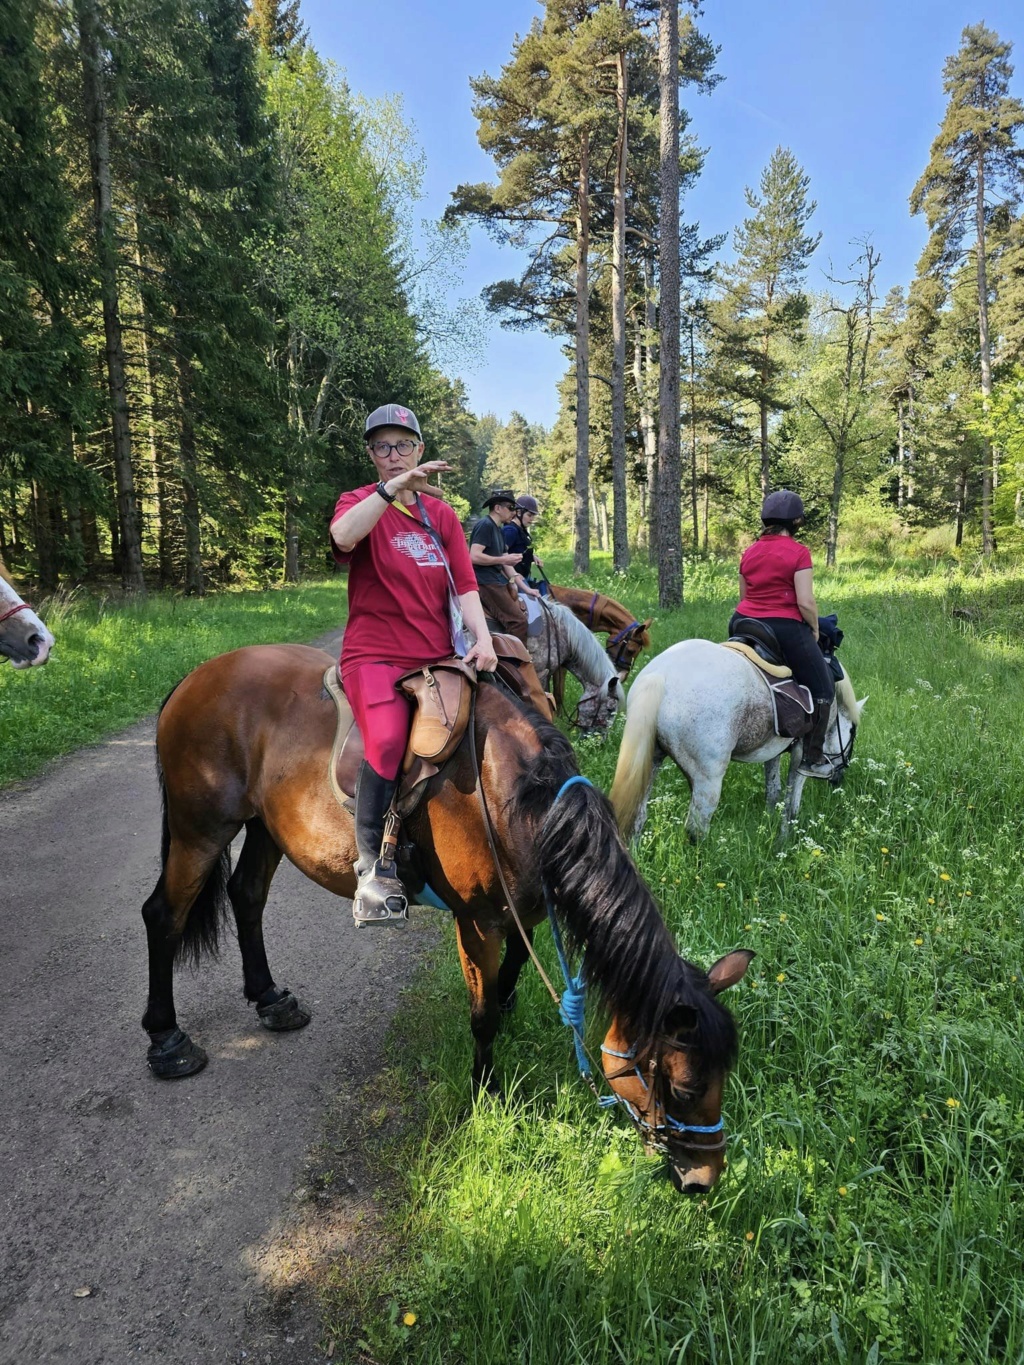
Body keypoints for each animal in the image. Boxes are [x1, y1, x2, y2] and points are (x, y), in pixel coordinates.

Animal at [142, 644, 753, 1190]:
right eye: (683, 1087)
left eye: (726, 1076)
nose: (703, 1179)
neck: (520, 801)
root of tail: (193, 679)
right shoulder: (478, 923)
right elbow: (482, 1015)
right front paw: (485, 1091)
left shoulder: (526, 914)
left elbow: (510, 976)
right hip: (201, 830)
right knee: (163, 916)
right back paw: (167, 1041)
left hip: (265, 827)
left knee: (246, 897)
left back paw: (270, 999)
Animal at [614, 638, 868, 840]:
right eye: (852, 732)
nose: (838, 780)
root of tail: (661, 675)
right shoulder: (800, 753)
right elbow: (791, 802)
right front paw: (785, 838)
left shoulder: (772, 750)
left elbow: (773, 791)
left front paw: (769, 825)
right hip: (708, 780)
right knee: (696, 829)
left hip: (651, 761)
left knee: (638, 818)